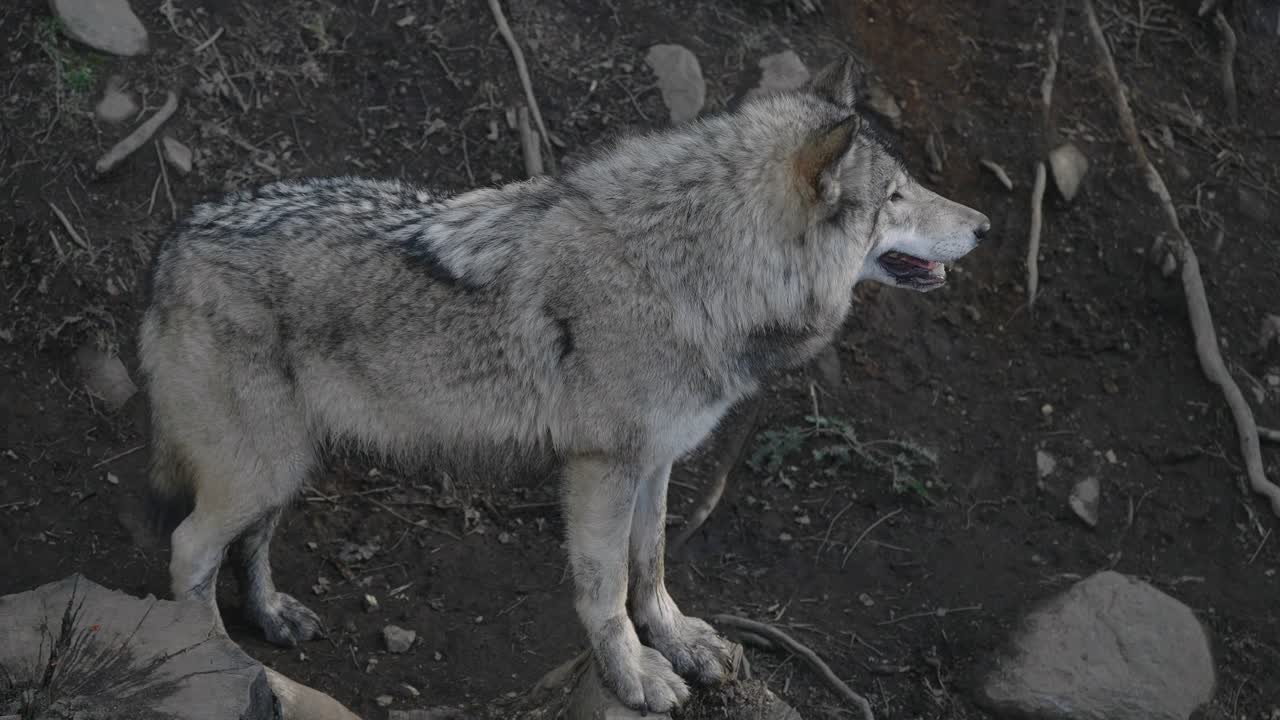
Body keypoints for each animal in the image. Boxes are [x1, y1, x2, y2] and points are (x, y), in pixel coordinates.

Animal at [138, 55, 988, 712]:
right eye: (897, 196)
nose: (983, 224)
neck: (694, 272)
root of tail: (172, 247)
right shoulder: (600, 469)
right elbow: (605, 589)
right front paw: (636, 673)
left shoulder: (655, 462)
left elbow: (651, 565)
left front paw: (679, 641)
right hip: (262, 467)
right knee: (189, 550)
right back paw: (223, 663)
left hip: (285, 467)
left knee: (246, 545)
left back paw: (271, 619)